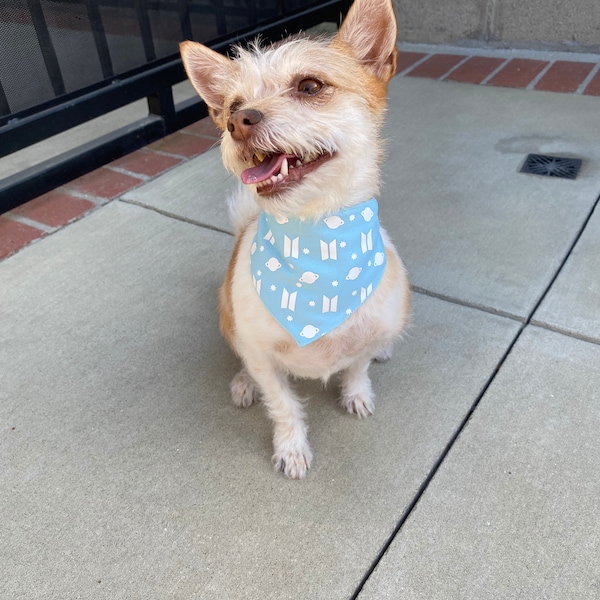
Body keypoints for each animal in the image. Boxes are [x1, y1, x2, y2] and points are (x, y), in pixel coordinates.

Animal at [180, 0, 410, 478]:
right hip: (227, 319)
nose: (237, 121)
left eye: (309, 85)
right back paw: (243, 382)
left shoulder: (368, 330)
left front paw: (357, 391)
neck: (316, 237)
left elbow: (357, 365)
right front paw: (291, 447)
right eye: (233, 104)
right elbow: (283, 403)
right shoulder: (263, 356)